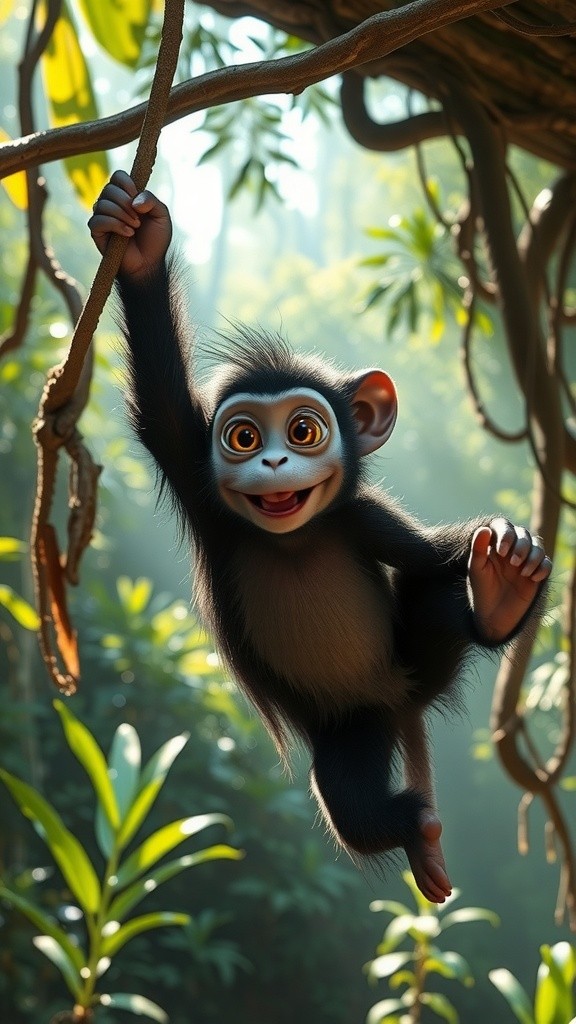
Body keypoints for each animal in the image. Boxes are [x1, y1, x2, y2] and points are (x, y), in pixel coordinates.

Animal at [89, 170, 552, 903]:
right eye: (243, 437)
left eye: (304, 429)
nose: (275, 462)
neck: (295, 538)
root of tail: (399, 704)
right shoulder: (199, 481)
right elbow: (160, 405)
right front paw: (137, 245)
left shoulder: (362, 517)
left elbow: (427, 554)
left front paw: (508, 567)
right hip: (350, 727)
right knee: (350, 805)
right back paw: (417, 832)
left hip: (414, 662)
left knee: (438, 601)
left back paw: (500, 598)